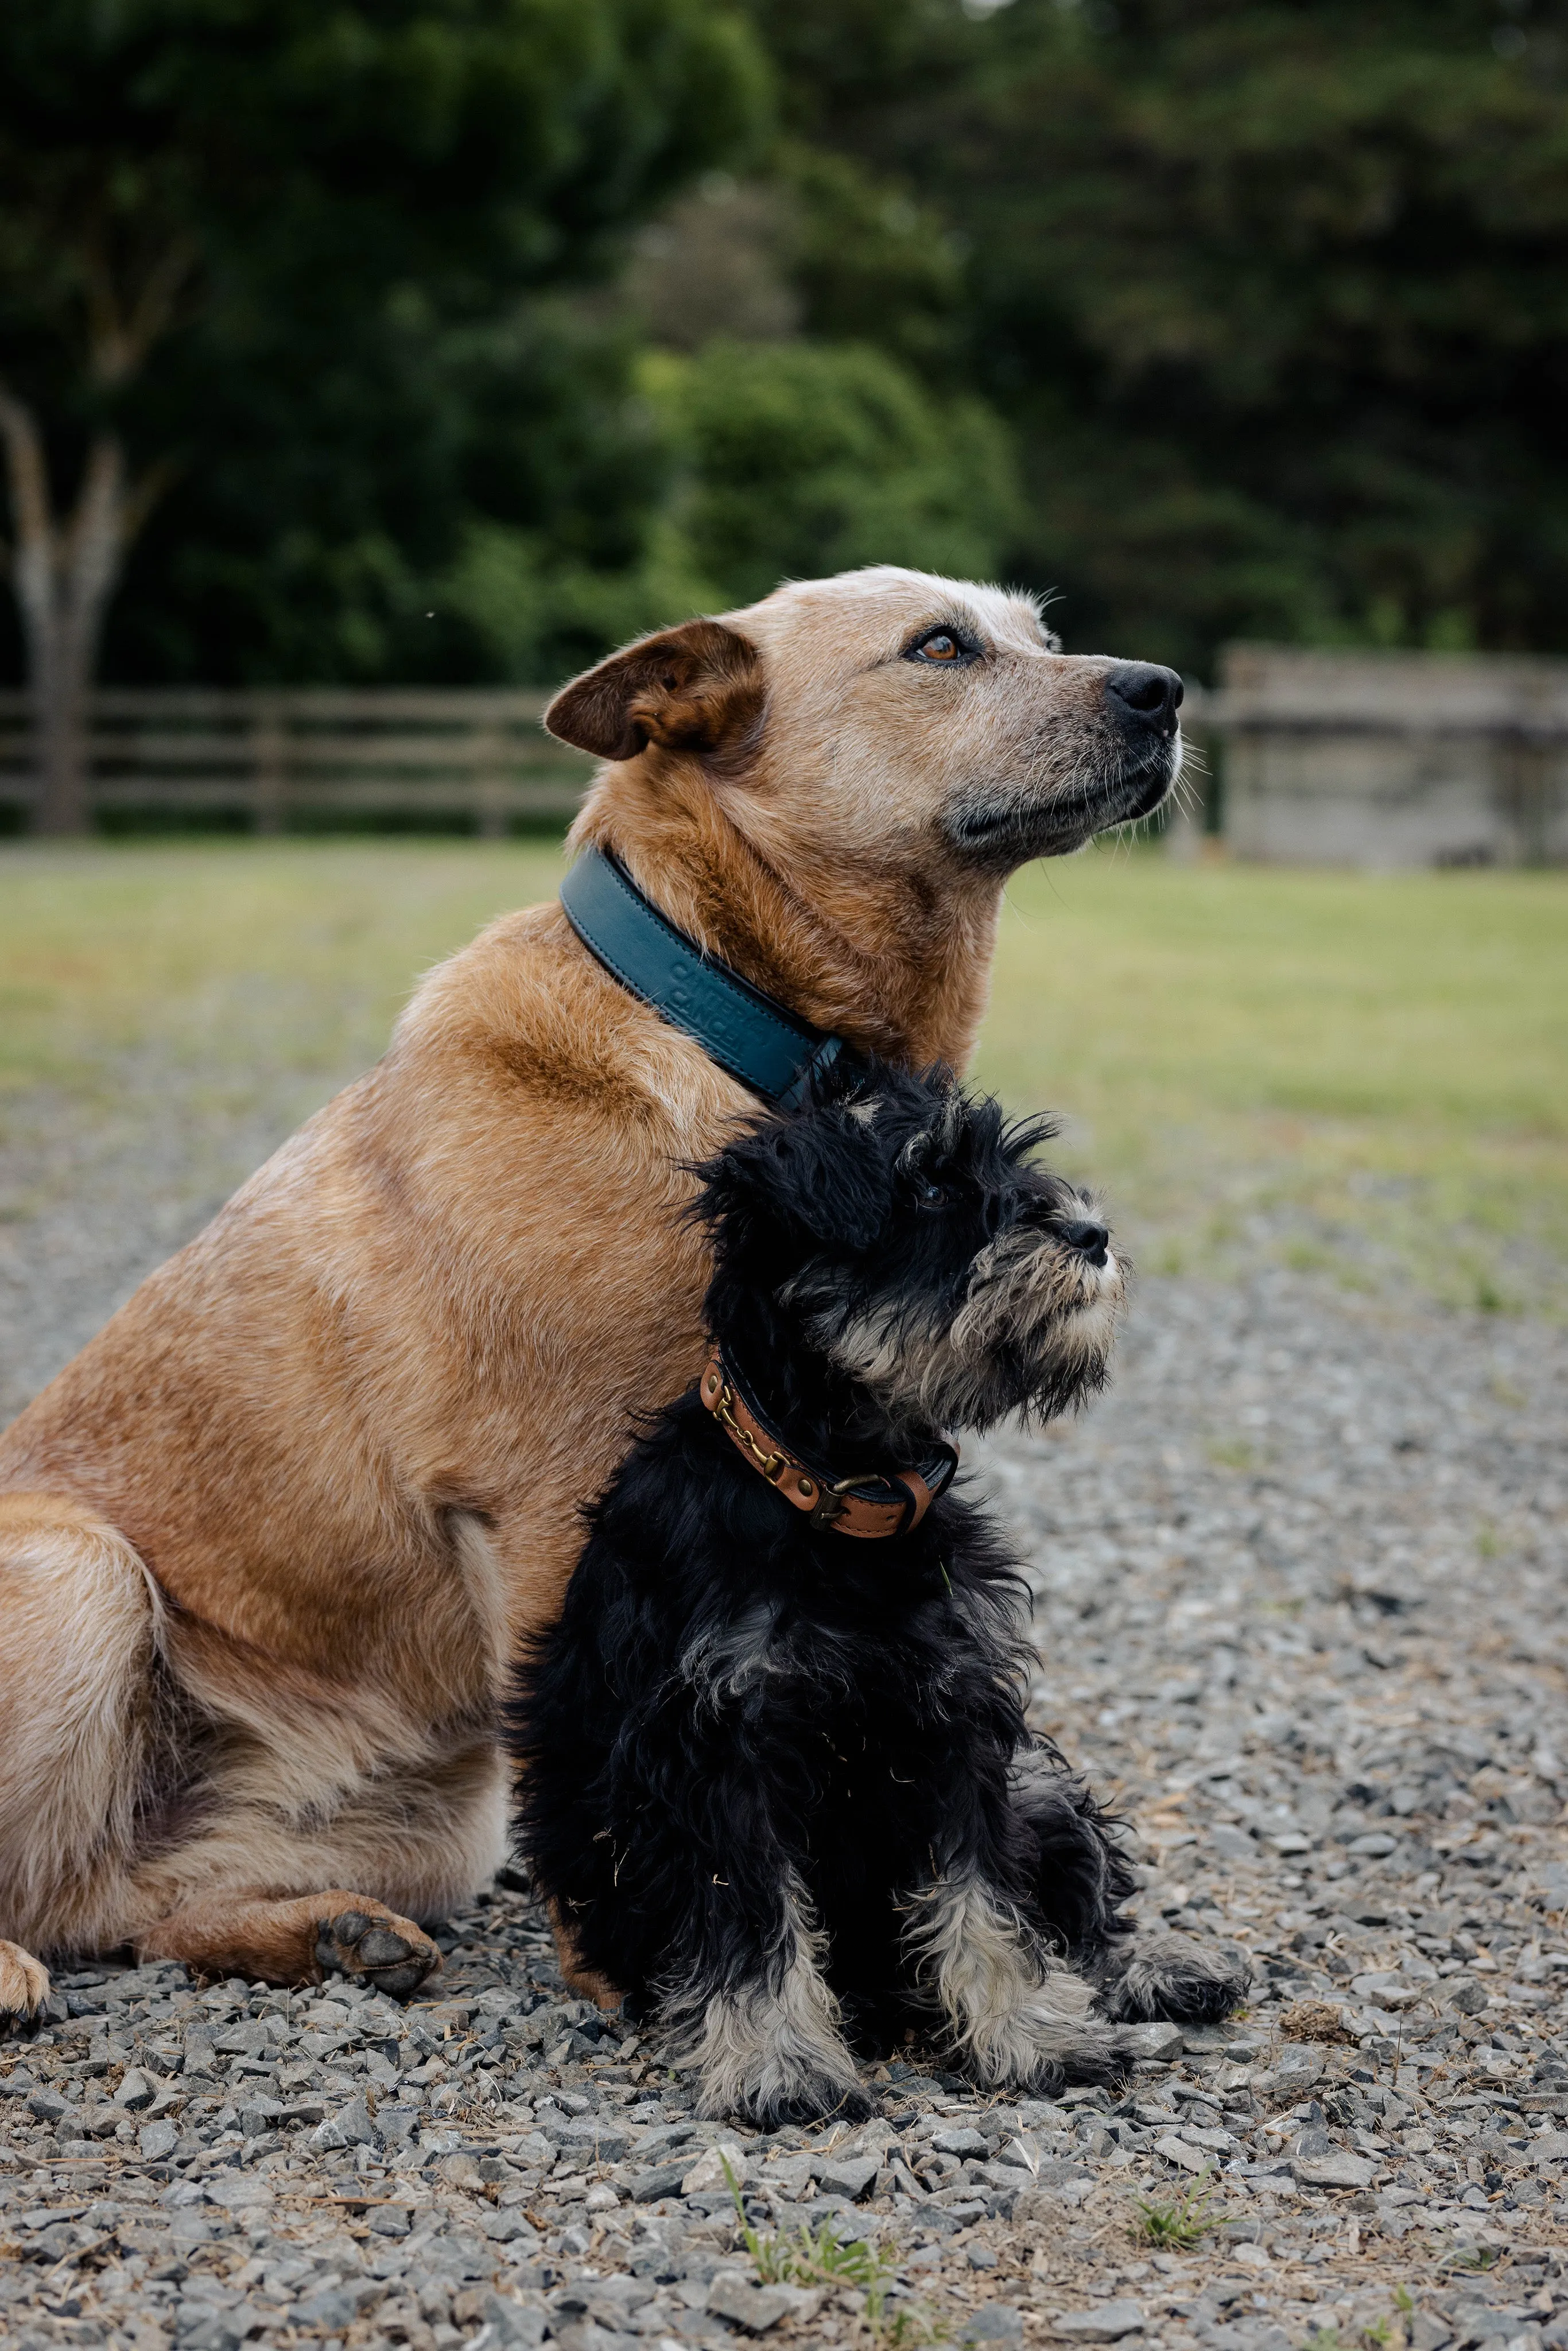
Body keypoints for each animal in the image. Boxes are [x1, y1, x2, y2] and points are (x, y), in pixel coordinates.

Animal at [0, 564, 1175, 2022]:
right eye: (940, 647)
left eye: (1041, 634)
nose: (1163, 691)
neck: (729, 1024)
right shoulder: (559, 1498)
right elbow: (612, 1755)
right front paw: (654, 1964)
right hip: (89, 1578)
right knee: (52, 1893)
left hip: (425, 1817)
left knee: (124, 1905)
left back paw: (332, 1933)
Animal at [515, 1067, 1251, 2135]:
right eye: (933, 1185)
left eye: (1011, 1164)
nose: (1090, 1232)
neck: (840, 1497)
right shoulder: (716, 1755)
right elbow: (754, 1918)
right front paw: (780, 2062)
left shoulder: (956, 1725)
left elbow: (987, 1900)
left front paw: (1033, 2034)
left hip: (1037, 1782)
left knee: (1081, 1905)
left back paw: (1158, 1965)